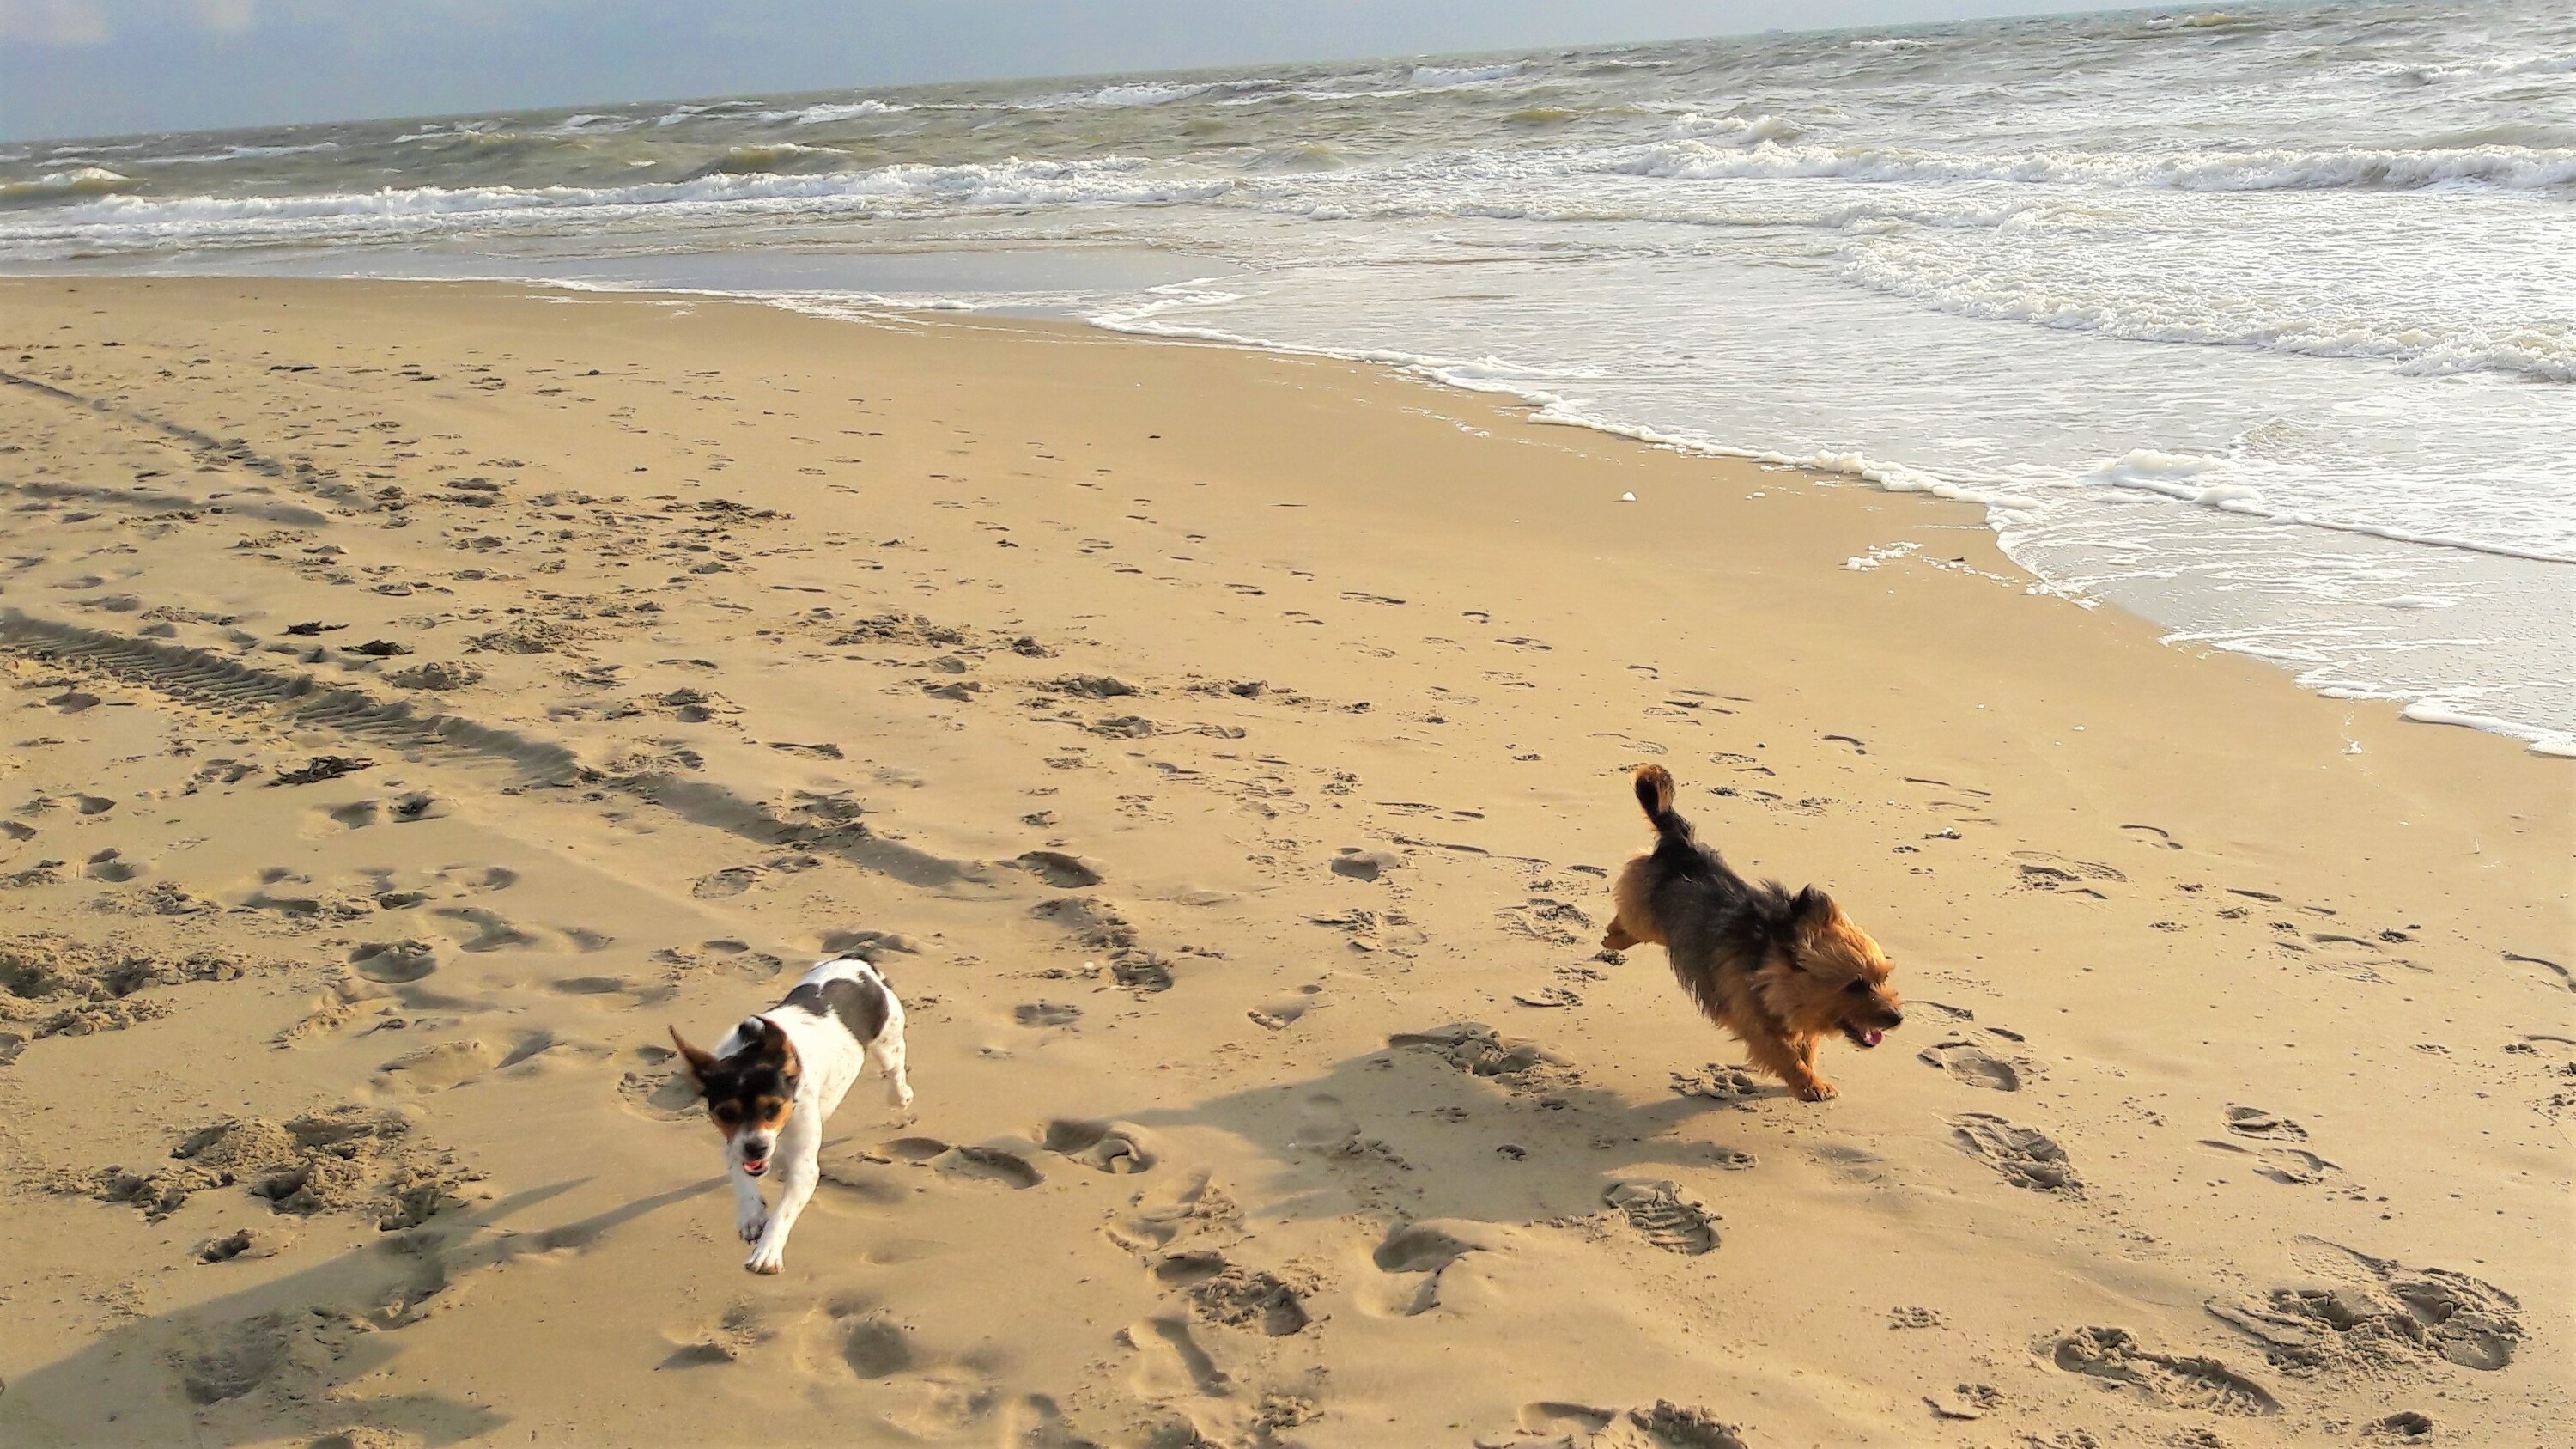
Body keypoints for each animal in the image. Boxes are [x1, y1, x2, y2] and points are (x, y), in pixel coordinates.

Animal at [669, 957, 913, 1274]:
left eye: (773, 1107)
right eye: (726, 1113)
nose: (756, 1148)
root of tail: (856, 959)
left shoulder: (803, 1167)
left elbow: (783, 1212)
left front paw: (767, 1252)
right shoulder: (733, 1143)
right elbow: (741, 1176)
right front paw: (750, 1214)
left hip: (887, 1041)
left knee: (895, 1070)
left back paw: (901, 1095)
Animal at [1600, 764, 1904, 1101]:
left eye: (1883, 978)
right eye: (1854, 985)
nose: (1898, 1017)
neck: (1770, 963)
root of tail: (1681, 844)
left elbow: (1807, 1044)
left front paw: (1811, 1072)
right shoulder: (1755, 1023)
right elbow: (1785, 1054)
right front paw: (1809, 1084)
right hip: (1646, 915)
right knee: (1629, 917)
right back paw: (1613, 935)